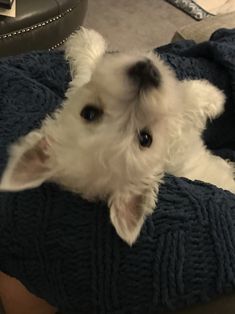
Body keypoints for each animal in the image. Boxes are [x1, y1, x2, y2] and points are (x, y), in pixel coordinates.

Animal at [0, 28, 234, 245]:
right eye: (145, 139)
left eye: (89, 113)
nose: (146, 72)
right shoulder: (180, 127)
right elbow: (188, 101)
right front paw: (213, 96)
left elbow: (86, 74)